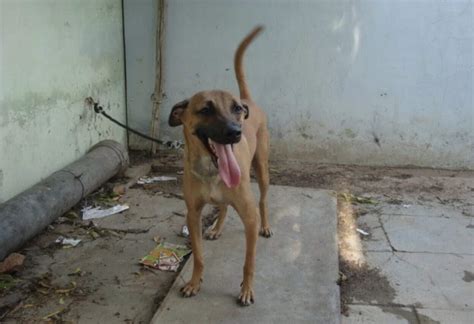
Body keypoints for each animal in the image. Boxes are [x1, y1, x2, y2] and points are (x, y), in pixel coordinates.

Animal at [168, 26, 270, 306]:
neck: (211, 170)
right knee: (223, 205)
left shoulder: (249, 218)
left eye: (236, 109)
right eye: (205, 109)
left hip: (263, 170)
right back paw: (216, 228)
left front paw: (246, 290)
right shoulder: (192, 214)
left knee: (263, 200)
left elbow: (249, 262)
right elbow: (199, 257)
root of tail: (248, 99)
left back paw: (266, 226)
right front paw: (194, 283)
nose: (235, 132)